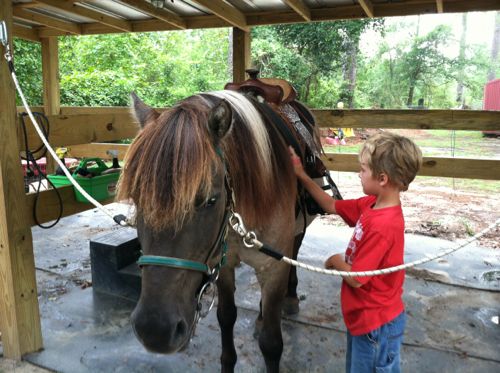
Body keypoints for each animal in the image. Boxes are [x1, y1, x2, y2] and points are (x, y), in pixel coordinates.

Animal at [120, 88, 324, 370]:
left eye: (210, 200)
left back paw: (291, 297)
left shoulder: (273, 268)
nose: (155, 330)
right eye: (137, 198)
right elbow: (226, 317)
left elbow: (272, 344)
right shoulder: (223, 264)